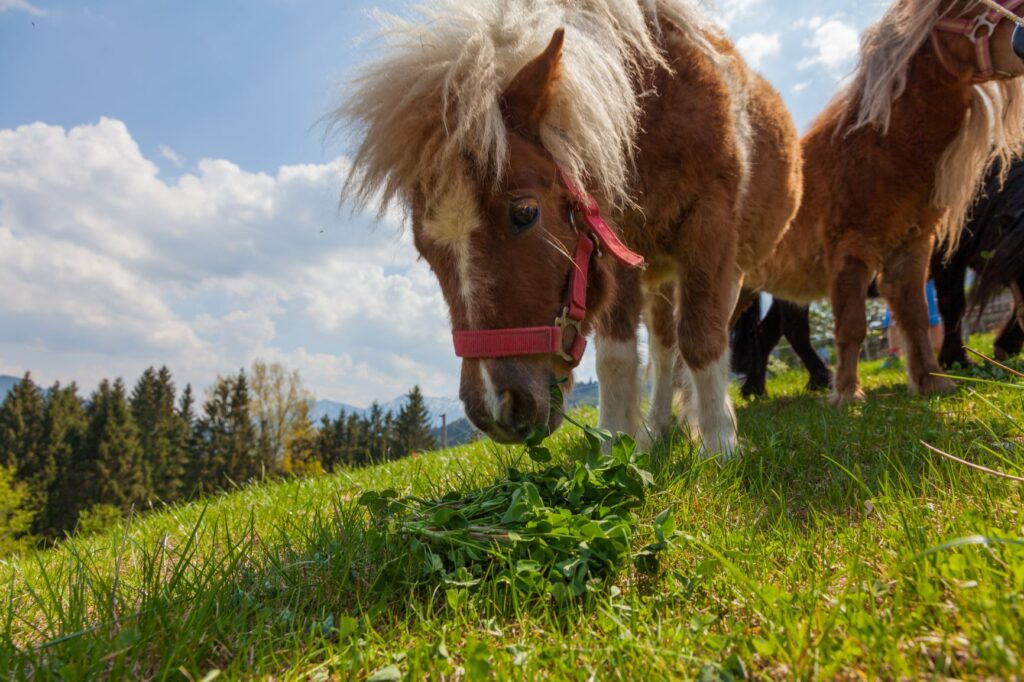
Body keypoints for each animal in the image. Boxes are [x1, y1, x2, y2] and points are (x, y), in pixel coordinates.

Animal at [335, 1, 798, 456]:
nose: (495, 410)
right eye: (425, 251)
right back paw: (659, 426)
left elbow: (702, 339)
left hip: (727, 271)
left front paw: (719, 443)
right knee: (664, 349)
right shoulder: (614, 249)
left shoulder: (709, 228)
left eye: (525, 212)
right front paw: (613, 448)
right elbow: (616, 356)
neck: (656, 101)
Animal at [745, 0, 1024, 403]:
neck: (882, 151)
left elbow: (918, 317)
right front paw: (847, 393)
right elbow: (852, 325)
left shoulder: (913, 251)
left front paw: (931, 379)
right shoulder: (853, 249)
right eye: (971, 8)